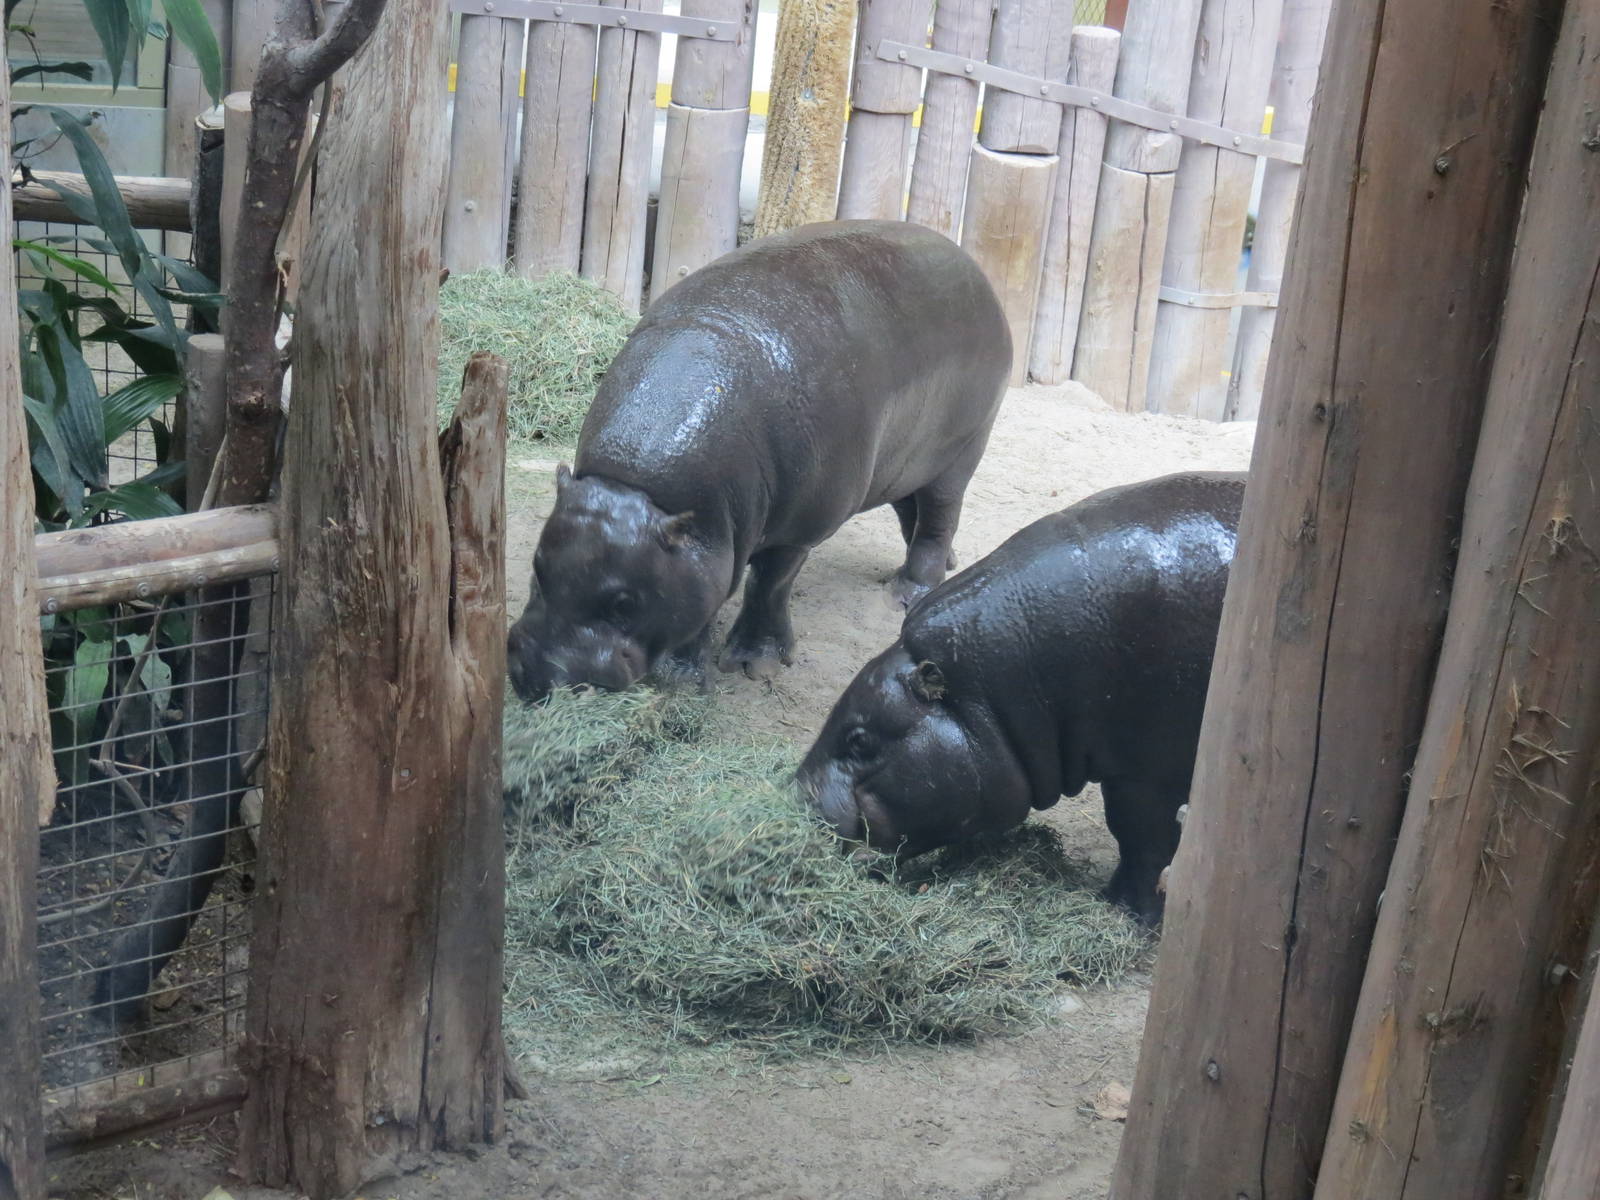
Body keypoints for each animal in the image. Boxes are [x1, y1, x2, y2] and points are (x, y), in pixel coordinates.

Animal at [507, 220, 1012, 700]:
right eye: (537, 567)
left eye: (624, 604)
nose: (535, 677)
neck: (641, 490)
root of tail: (976, 271)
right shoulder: (702, 545)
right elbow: (699, 597)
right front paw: (683, 677)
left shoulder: (797, 530)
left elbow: (767, 585)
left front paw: (754, 665)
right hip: (903, 465)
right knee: (912, 510)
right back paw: (947, 564)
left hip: (963, 448)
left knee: (938, 517)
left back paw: (910, 594)